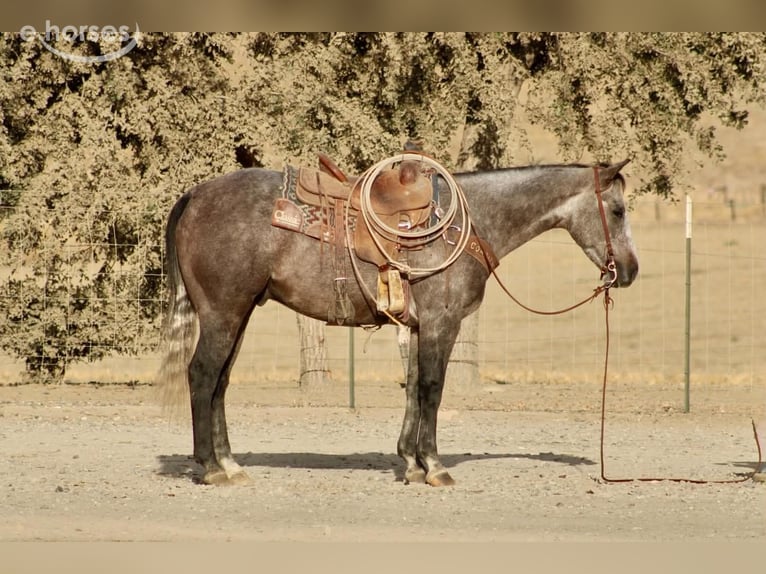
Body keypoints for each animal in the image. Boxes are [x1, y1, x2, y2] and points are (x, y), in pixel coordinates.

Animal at [157, 158, 639, 487]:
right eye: (617, 211)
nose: (630, 271)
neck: (470, 222)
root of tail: (195, 195)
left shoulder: (417, 327)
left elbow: (412, 389)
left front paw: (410, 461)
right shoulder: (442, 323)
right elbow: (431, 389)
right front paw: (435, 466)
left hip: (238, 314)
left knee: (220, 383)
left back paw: (230, 463)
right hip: (222, 313)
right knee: (202, 375)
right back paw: (209, 467)